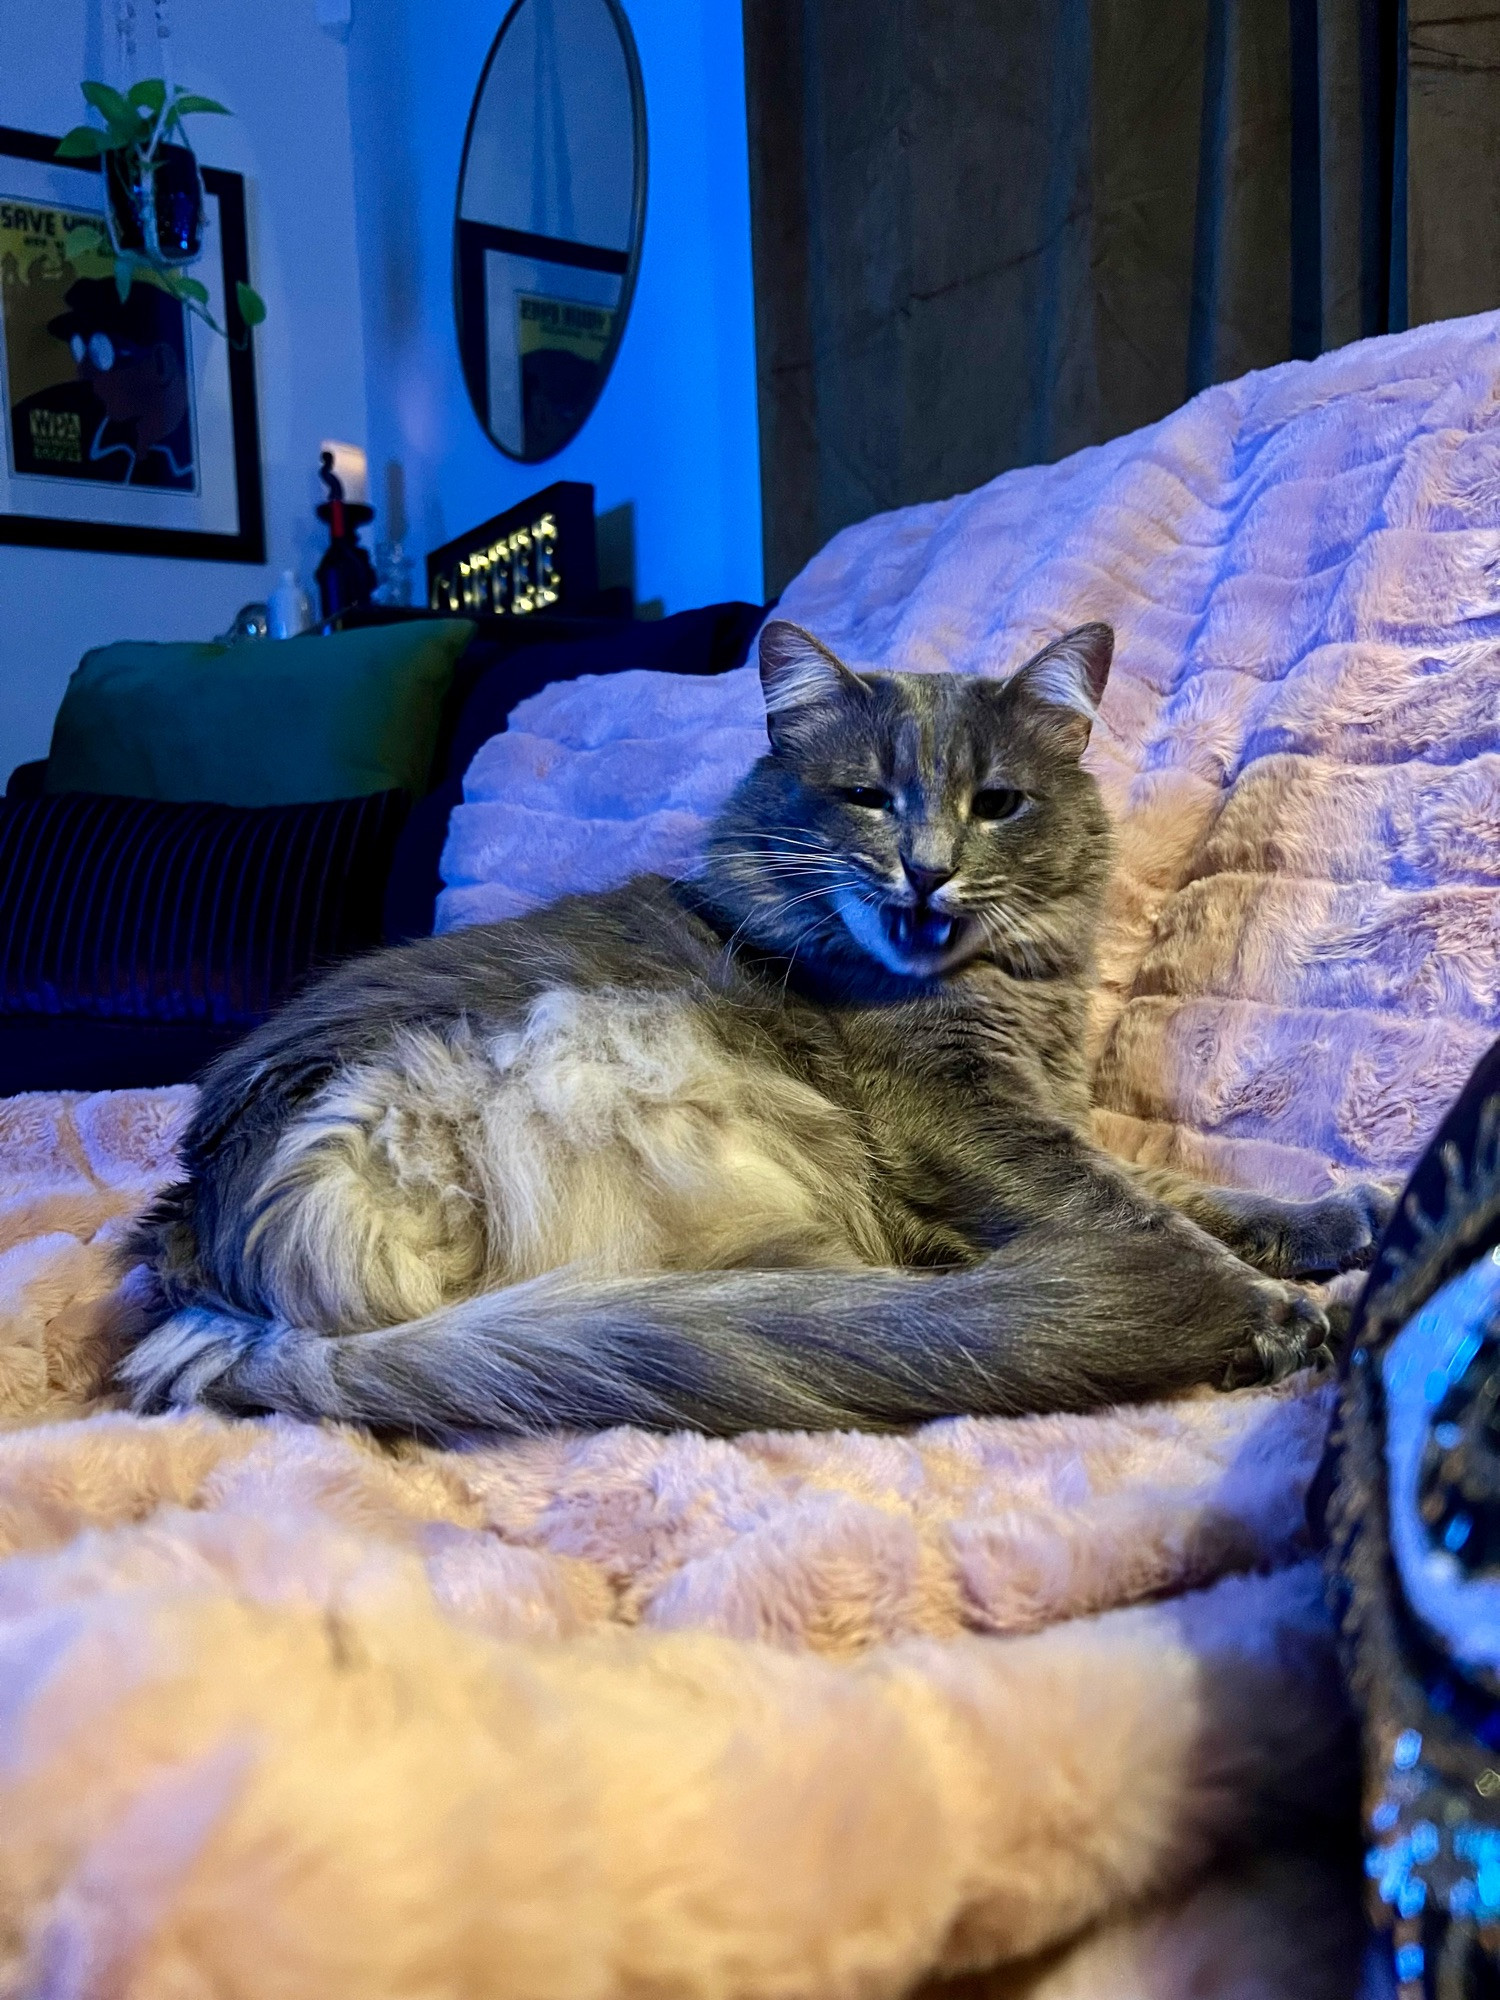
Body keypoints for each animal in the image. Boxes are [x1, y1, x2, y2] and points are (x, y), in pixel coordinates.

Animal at [120, 616, 1400, 1432]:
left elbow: (1186, 1185)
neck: (1003, 987)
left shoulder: (1049, 1113)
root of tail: (206, 1257)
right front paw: (1273, 1304)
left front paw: (1343, 1217)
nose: (927, 870)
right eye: (868, 798)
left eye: (998, 803)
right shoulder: (973, 1120)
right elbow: (1140, 1209)